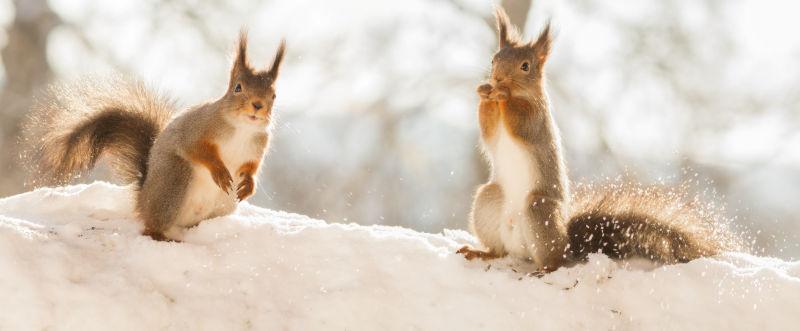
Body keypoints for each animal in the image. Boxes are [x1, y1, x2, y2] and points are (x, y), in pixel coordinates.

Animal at [22, 31, 288, 241]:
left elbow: (251, 167)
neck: (242, 128)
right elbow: (196, 149)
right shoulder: (196, 128)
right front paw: (220, 172)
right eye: (238, 87)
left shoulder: (258, 146)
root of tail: (143, 199)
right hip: (175, 179)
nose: (257, 105)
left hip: (223, 203)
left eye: (274, 96)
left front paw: (249, 184)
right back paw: (163, 235)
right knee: (152, 227)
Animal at [456, 7, 736, 272]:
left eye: (525, 66)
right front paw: (484, 92)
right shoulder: (495, 130)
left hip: (539, 209)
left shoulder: (537, 119)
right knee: (499, 250)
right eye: (493, 59)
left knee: (554, 259)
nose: (497, 79)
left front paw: (502, 94)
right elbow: (489, 131)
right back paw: (482, 252)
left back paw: (545, 268)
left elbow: (520, 121)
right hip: (489, 200)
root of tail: (566, 243)